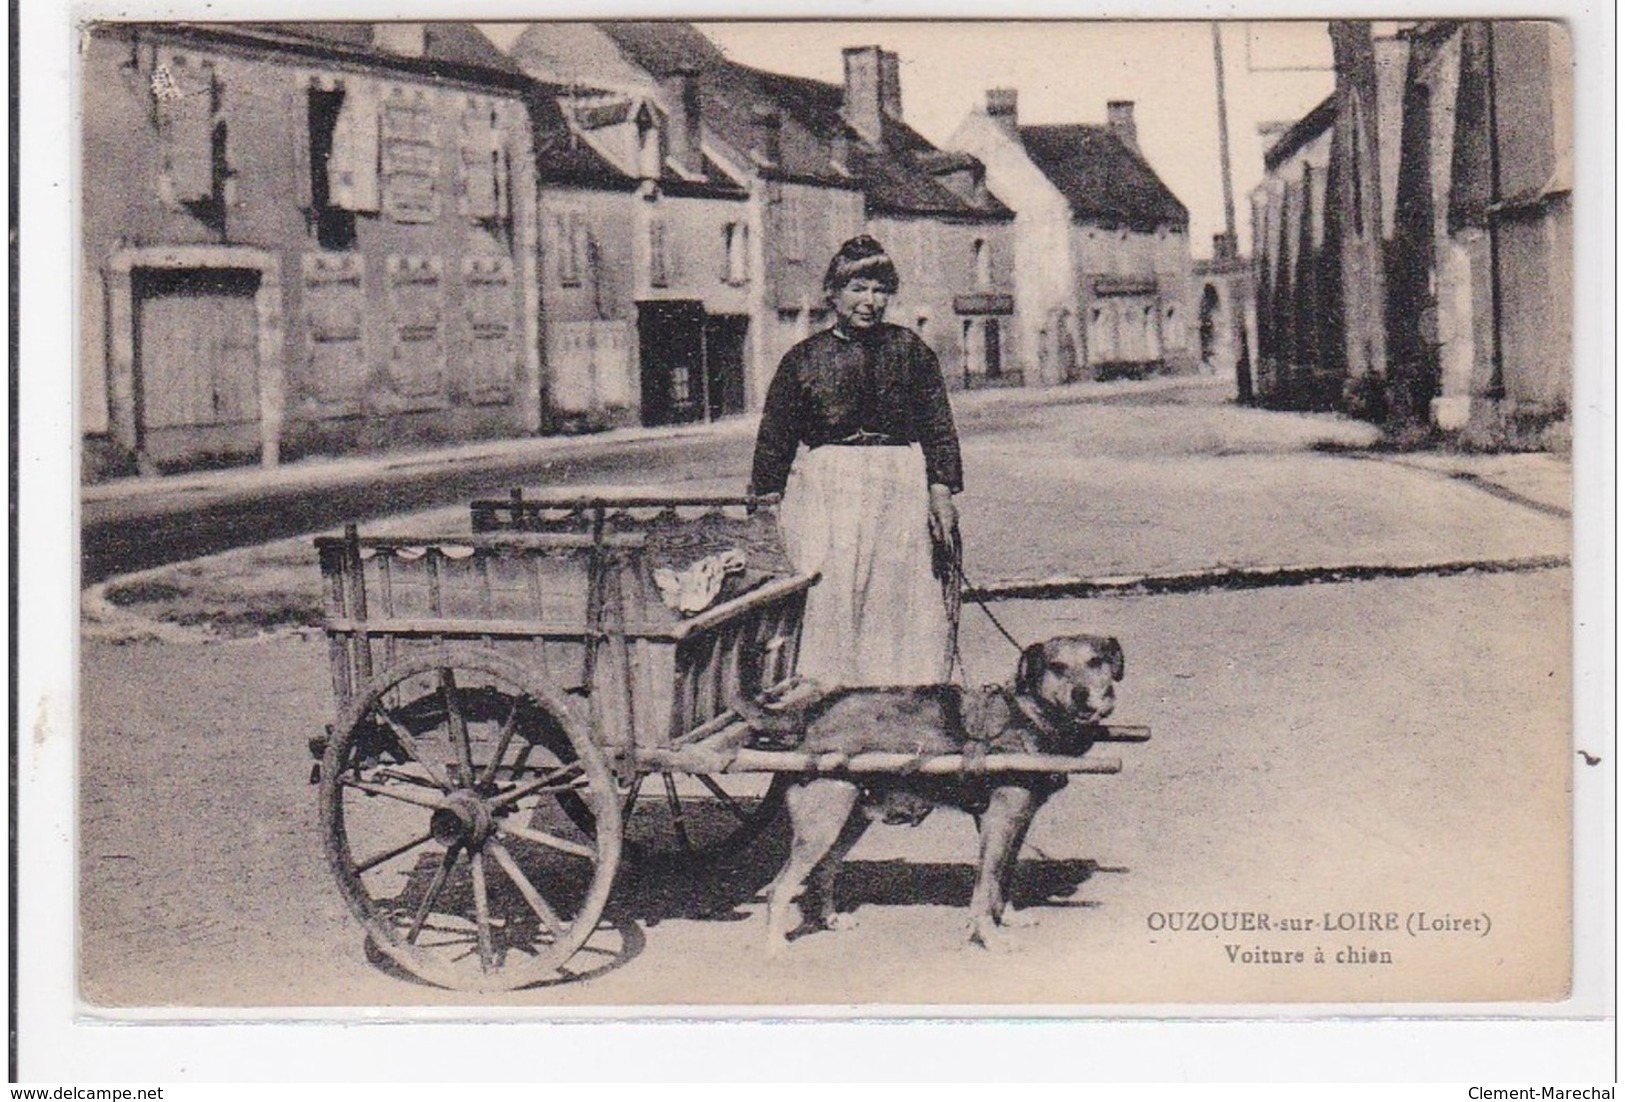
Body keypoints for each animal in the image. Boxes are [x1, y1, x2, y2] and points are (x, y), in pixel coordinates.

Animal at [744, 633, 1124, 955]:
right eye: (1056, 667)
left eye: (1096, 661)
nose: (1081, 694)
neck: (1026, 716)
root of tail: (810, 714)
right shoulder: (997, 822)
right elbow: (984, 889)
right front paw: (990, 938)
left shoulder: (1017, 824)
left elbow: (1002, 880)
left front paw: (1007, 916)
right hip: (823, 824)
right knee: (780, 887)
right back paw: (775, 945)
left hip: (849, 820)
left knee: (825, 870)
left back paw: (831, 920)